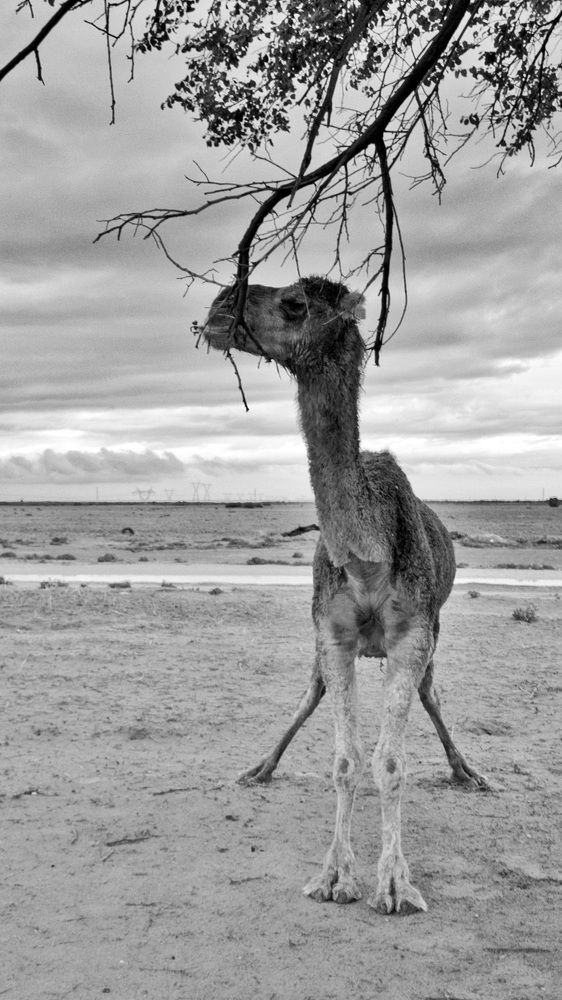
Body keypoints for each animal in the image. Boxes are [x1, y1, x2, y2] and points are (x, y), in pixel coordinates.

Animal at [204, 275, 489, 914]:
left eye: (295, 304)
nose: (217, 308)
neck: (367, 558)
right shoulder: (331, 633)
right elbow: (343, 759)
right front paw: (335, 875)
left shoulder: (413, 636)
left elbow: (390, 761)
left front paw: (395, 884)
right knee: (309, 693)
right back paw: (260, 769)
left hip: (432, 632)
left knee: (432, 694)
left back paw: (467, 773)